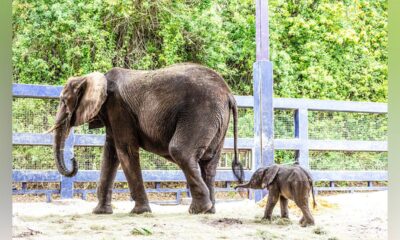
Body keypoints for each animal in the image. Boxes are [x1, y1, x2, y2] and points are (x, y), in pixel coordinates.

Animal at [49, 63, 244, 214]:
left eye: (64, 101)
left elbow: (125, 150)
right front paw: (100, 212)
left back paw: (198, 210)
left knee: (180, 152)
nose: (73, 160)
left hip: (201, 113)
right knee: (209, 163)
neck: (95, 78)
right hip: (218, 121)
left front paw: (139, 212)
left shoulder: (118, 108)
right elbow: (110, 154)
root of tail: (229, 94)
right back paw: (209, 210)